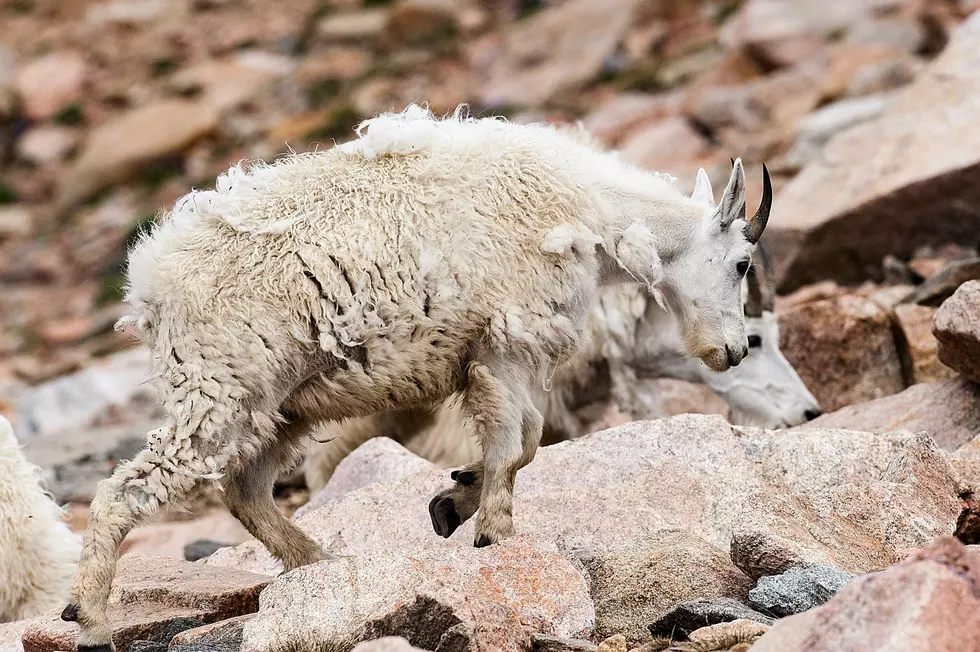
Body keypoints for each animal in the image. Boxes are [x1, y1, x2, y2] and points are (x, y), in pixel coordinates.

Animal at [61, 104, 768, 648]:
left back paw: (320, 567)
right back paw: (90, 616)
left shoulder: (501, 354)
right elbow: (516, 441)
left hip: (279, 404)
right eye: (740, 263)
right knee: (127, 490)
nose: (733, 351)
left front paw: (454, 500)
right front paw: (491, 533)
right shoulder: (505, 343)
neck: (592, 212)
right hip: (219, 390)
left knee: (245, 490)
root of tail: (148, 284)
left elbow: (526, 443)